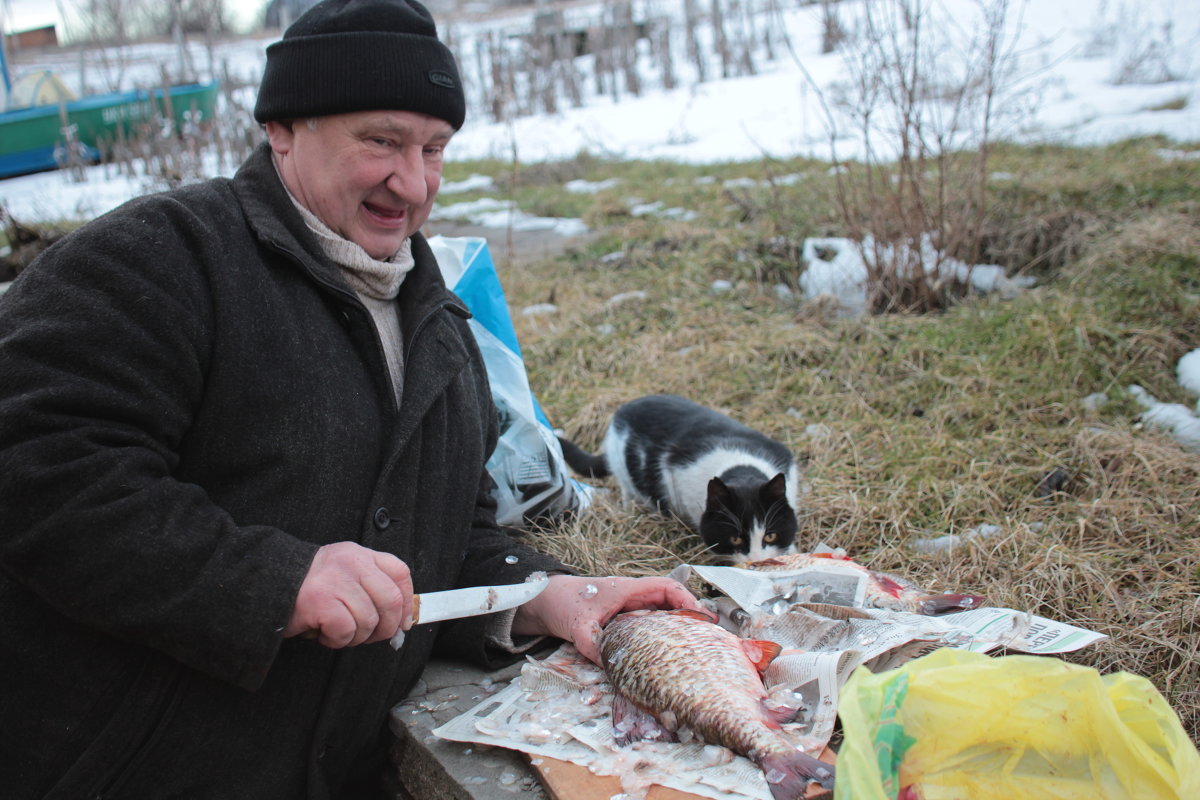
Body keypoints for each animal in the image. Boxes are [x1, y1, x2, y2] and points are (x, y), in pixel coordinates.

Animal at [556, 393, 801, 563]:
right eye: (735, 539)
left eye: (770, 536)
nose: (756, 561)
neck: (740, 467)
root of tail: (621, 410)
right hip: (622, 466)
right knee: (627, 488)